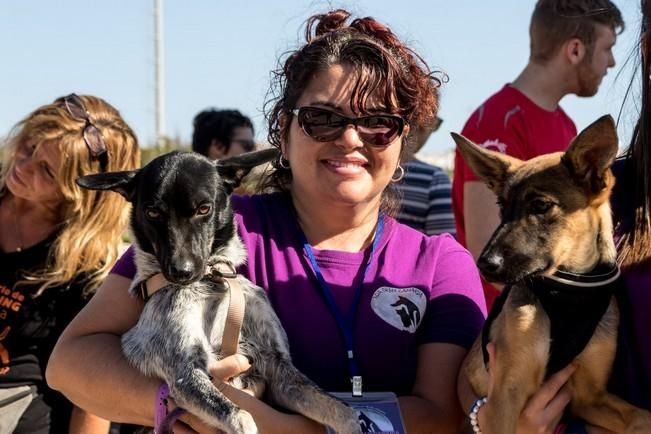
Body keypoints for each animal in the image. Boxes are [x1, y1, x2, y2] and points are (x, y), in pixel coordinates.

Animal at [77, 150, 362, 434]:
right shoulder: (185, 372)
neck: (212, 282)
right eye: (152, 212)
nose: (181, 271)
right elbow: (241, 416)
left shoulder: (279, 369)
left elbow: (341, 409)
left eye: (204, 208)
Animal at [456, 116, 651, 434]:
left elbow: (641, 416)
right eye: (501, 206)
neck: (568, 292)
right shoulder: (506, 395)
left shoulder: (589, 397)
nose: (484, 264)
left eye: (541, 206)